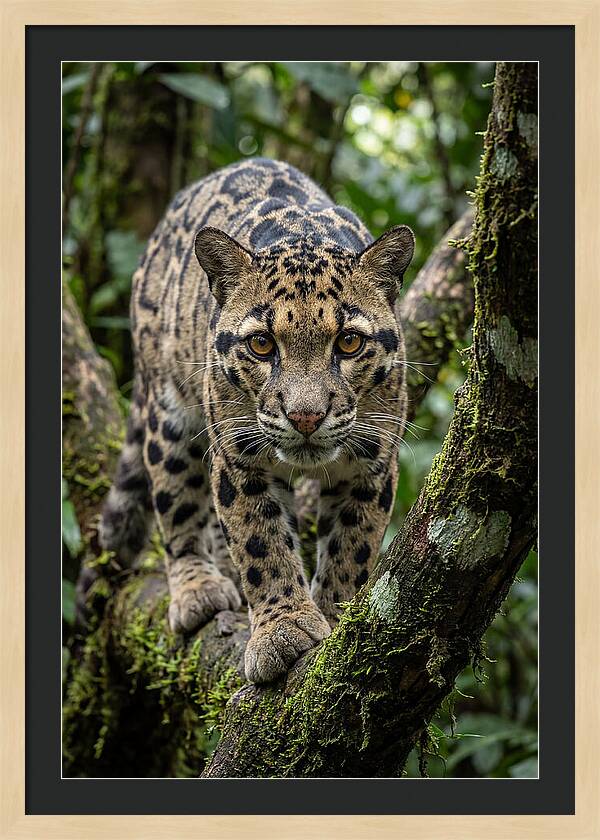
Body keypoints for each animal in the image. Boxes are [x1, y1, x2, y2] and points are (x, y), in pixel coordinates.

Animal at [100, 157, 414, 684]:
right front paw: (282, 631)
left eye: (349, 342)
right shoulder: (239, 456)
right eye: (262, 344)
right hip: (168, 411)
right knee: (176, 503)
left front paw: (336, 616)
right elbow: (260, 542)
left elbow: (353, 545)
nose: (305, 416)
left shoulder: (372, 460)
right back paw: (199, 588)